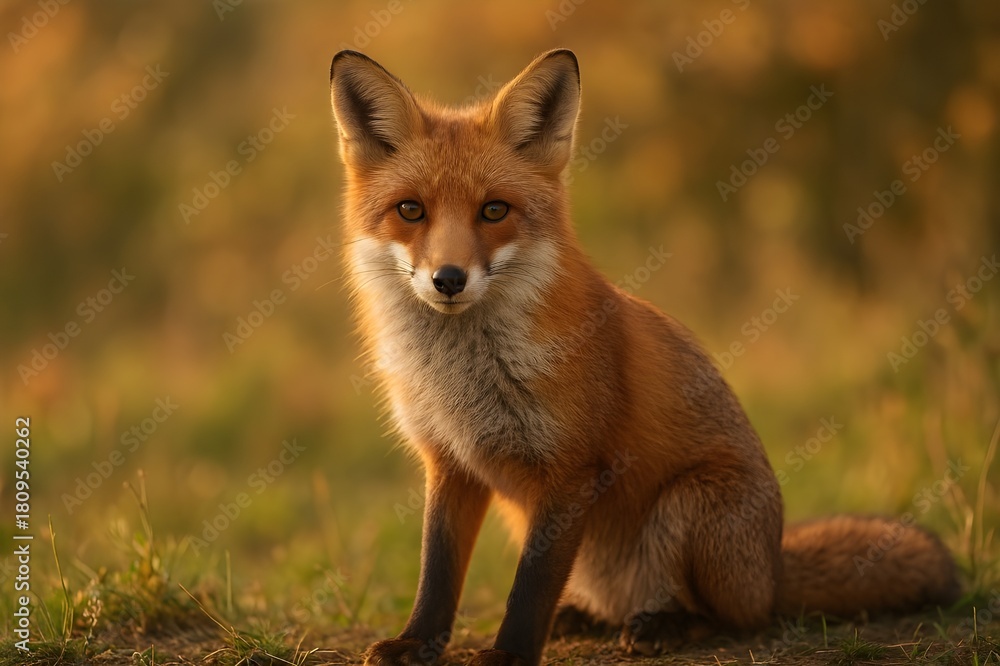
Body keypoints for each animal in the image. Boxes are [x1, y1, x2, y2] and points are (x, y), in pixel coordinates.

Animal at [328, 49, 960, 666]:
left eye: (494, 211)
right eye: (411, 211)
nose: (449, 279)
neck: (462, 377)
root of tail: (773, 570)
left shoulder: (572, 468)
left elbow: (530, 584)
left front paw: (508, 654)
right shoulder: (449, 461)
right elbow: (436, 574)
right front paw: (415, 643)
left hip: (692, 505)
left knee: (734, 618)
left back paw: (668, 625)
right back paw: (583, 616)